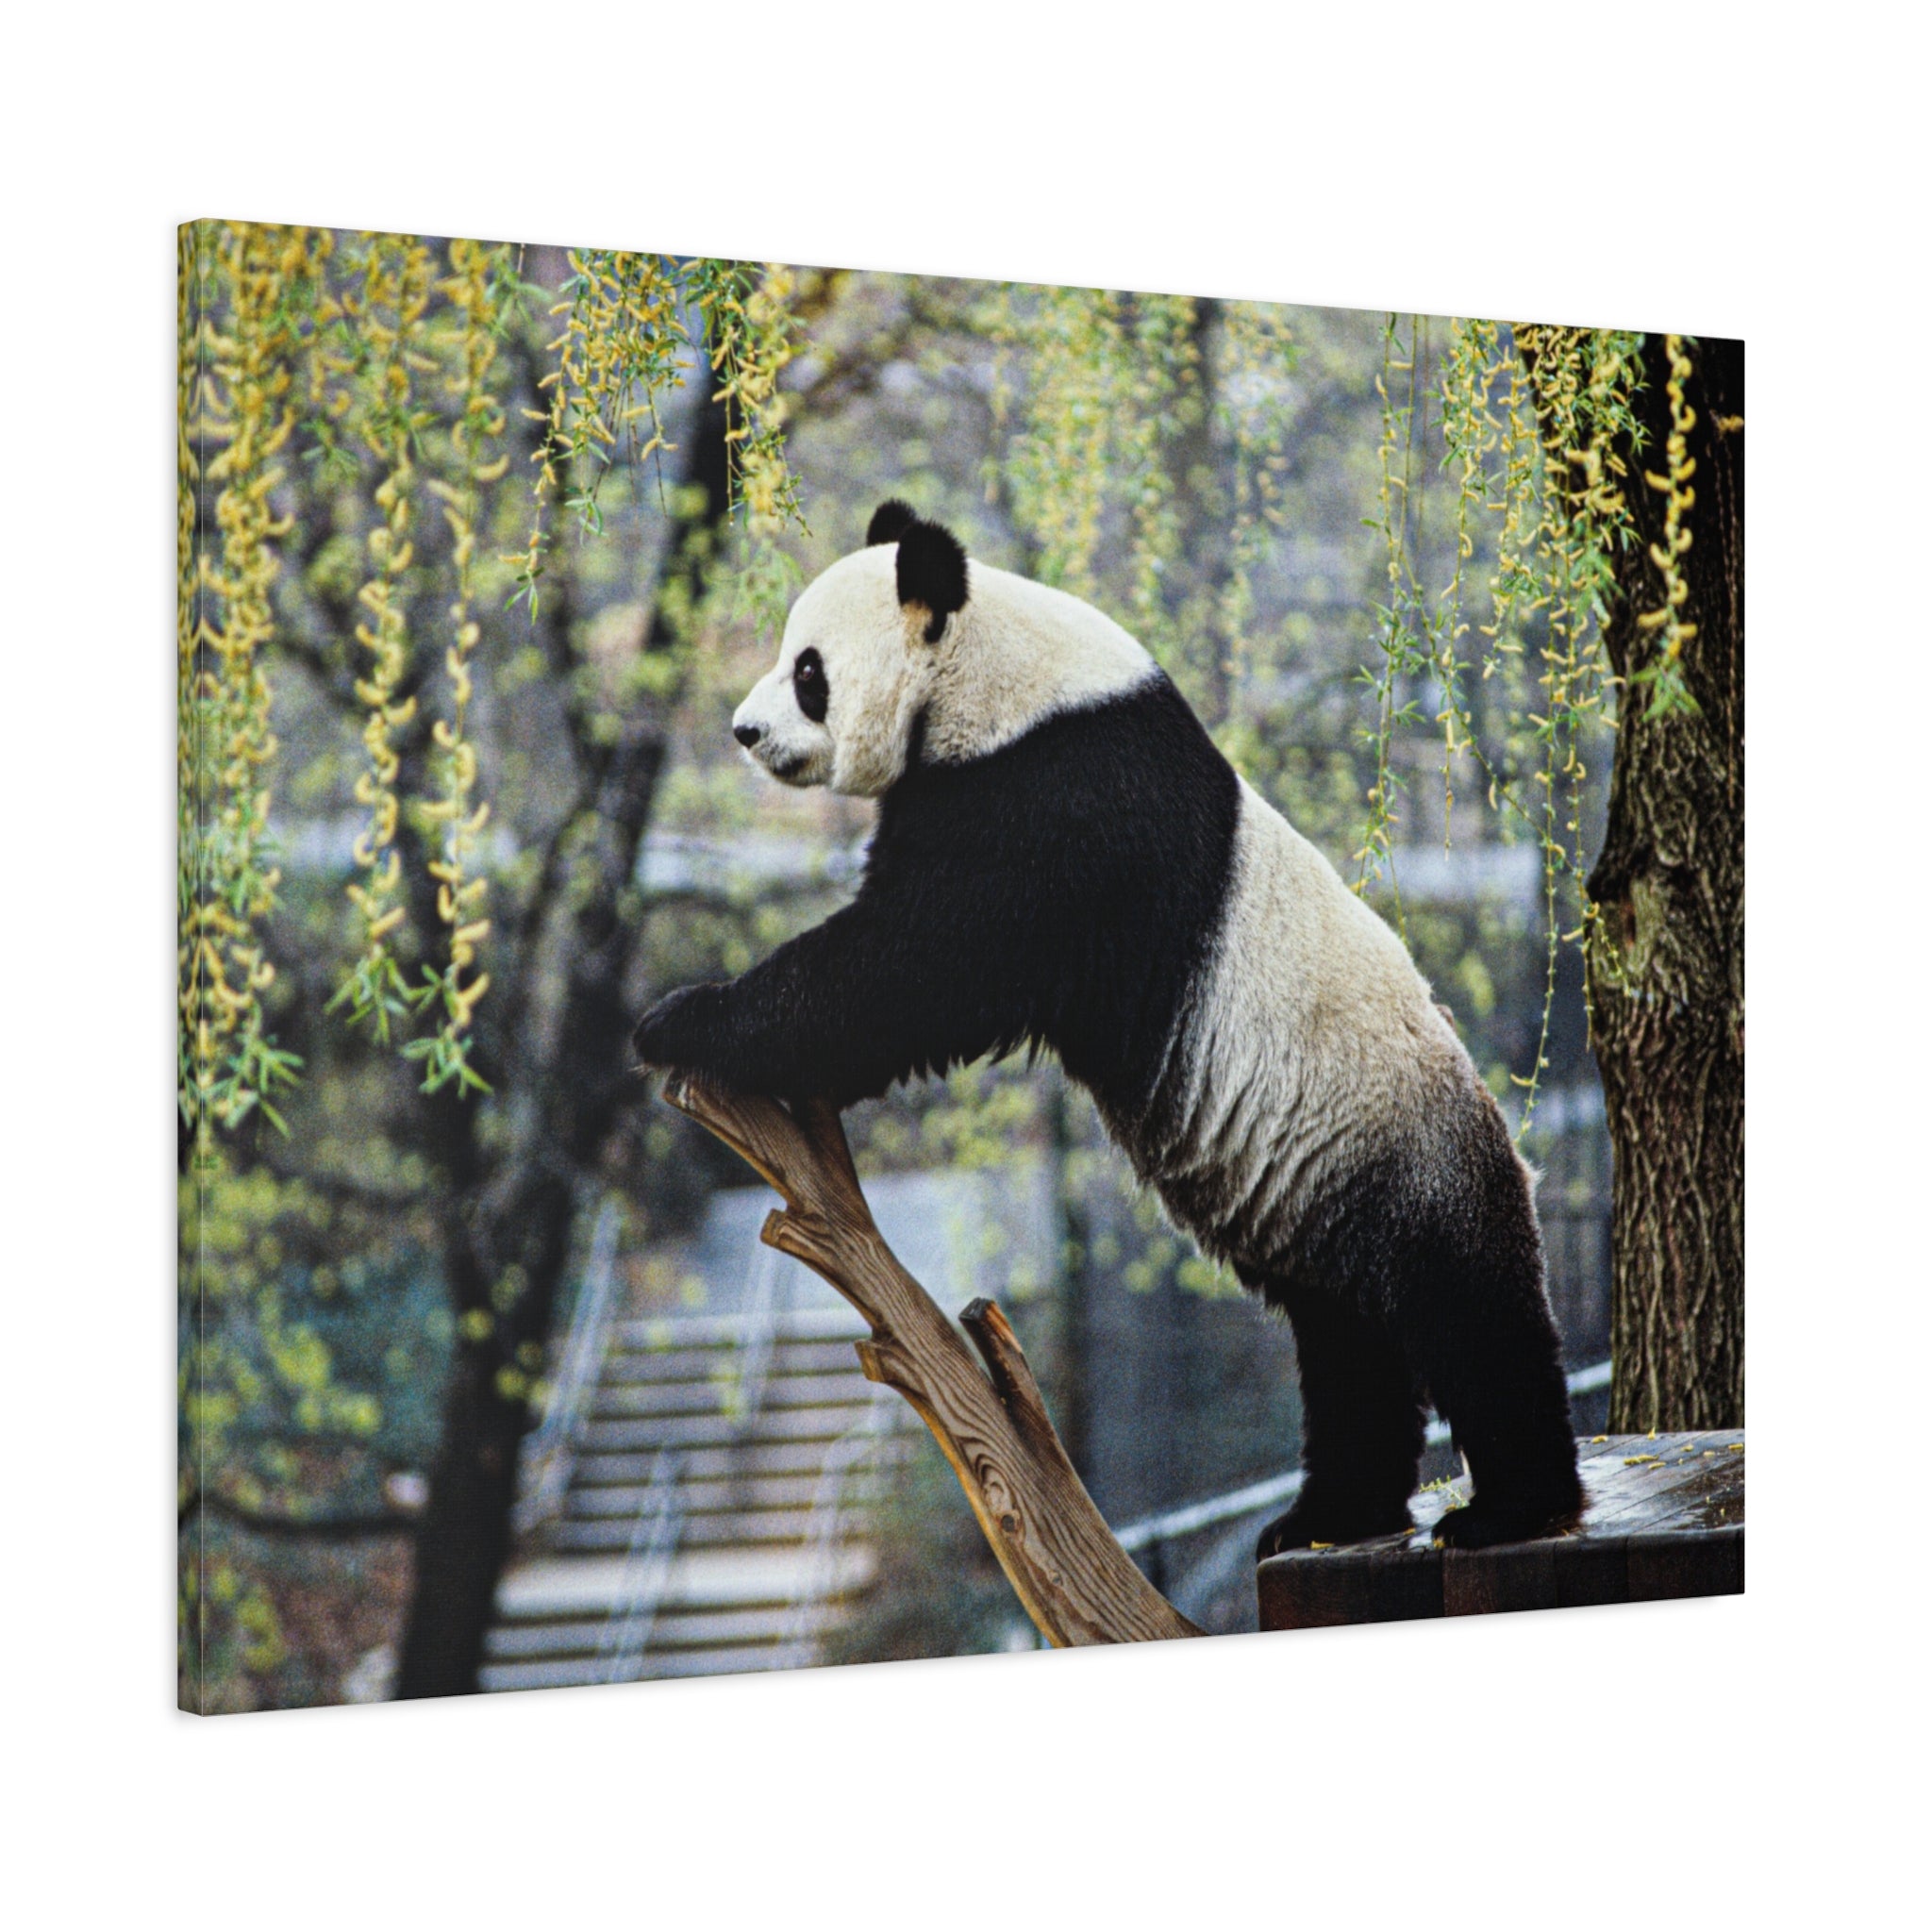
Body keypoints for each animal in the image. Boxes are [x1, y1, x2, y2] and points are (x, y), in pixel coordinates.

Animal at [634, 500, 1583, 1554]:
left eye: (809, 670)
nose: (745, 729)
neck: (996, 672)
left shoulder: (1055, 800)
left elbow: (912, 966)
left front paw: (684, 1020)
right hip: (1326, 1192)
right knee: (1346, 1344)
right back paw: (1329, 1515)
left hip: (1406, 1154)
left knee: (1467, 1317)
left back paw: (1508, 1507)